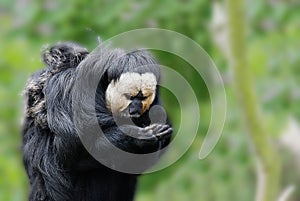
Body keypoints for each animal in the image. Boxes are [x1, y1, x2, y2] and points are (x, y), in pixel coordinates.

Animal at [22, 41, 173, 200]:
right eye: (130, 97)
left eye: (143, 97)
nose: (135, 108)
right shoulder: (69, 89)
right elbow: (73, 146)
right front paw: (137, 137)